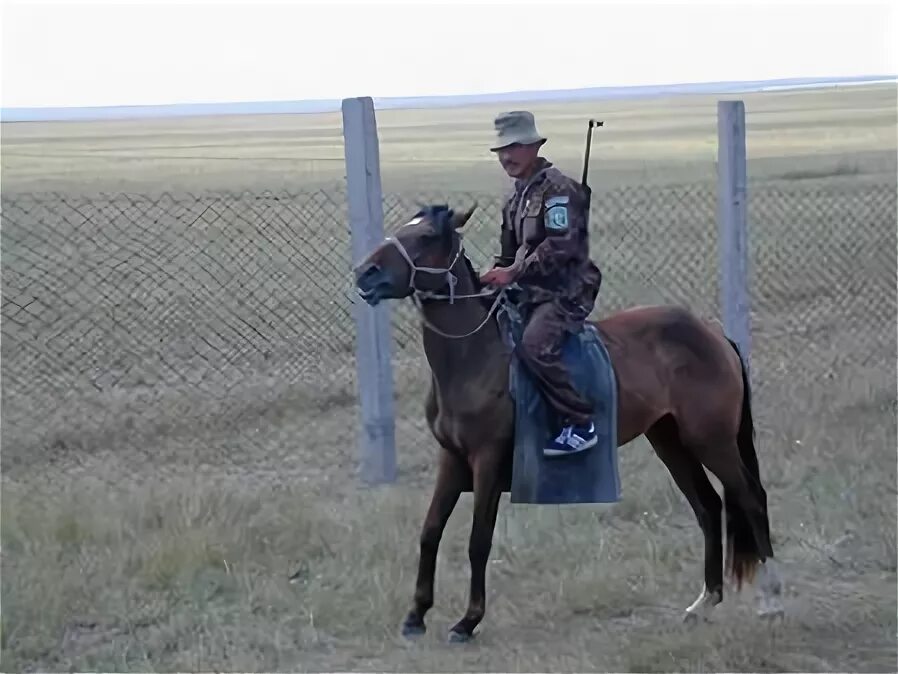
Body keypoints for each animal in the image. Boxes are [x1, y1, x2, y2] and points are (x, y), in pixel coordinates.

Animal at [352, 201, 784, 640]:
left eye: (424, 237)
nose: (365, 273)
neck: (476, 358)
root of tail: (714, 336)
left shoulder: (486, 461)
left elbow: (478, 541)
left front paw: (468, 620)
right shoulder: (452, 459)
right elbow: (430, 531)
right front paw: (416, 615)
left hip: (712, 442)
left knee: (751, 500)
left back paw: (771, 601)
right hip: (670, 441)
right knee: (709, 507)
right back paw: (704, 602)